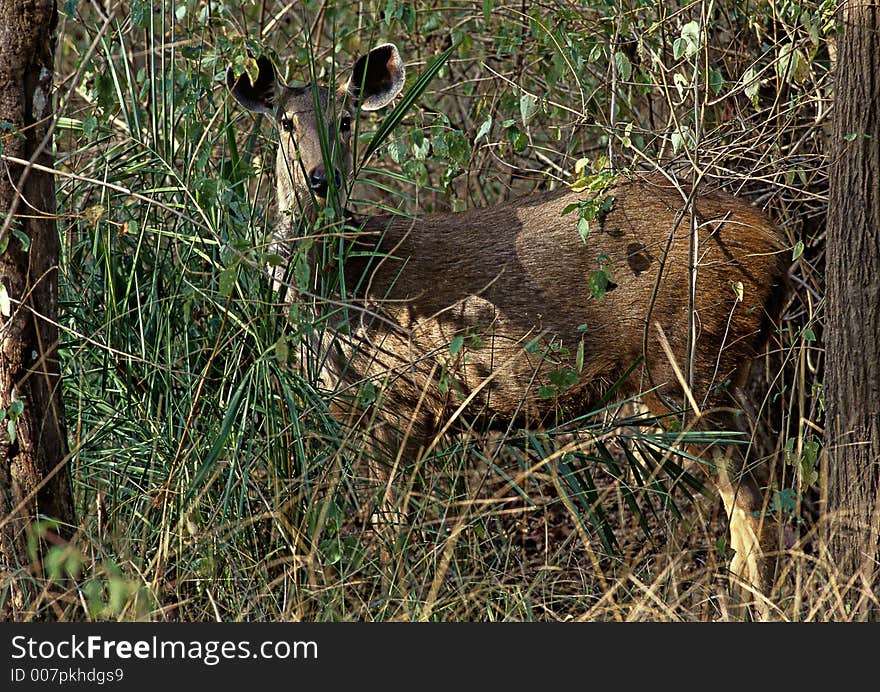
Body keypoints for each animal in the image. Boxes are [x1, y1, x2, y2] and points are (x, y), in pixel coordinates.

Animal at [229, 43, 792, 596]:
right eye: (285, 122)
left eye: (345, 120)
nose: (322, 179)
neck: (341, 289)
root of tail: (776, 241)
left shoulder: (403, 400)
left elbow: (390, 529)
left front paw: (393, 594)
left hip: (691, 360)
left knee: (749, 496)